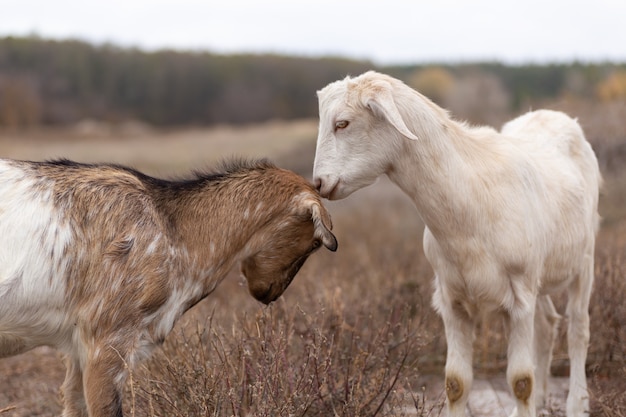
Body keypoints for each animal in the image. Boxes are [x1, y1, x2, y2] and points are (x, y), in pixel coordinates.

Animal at [312, 71, 600, 416]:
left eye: (342, 123)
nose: (318, 183)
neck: (473, 200)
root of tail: (554, 115)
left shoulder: (519, 300)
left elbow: (520, 381)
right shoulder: (453, 300)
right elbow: (456, 382)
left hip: (583, 261)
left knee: (579, 330)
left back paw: (577, 403)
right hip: (541, 276)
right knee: (547, 325)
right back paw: (543, 399)